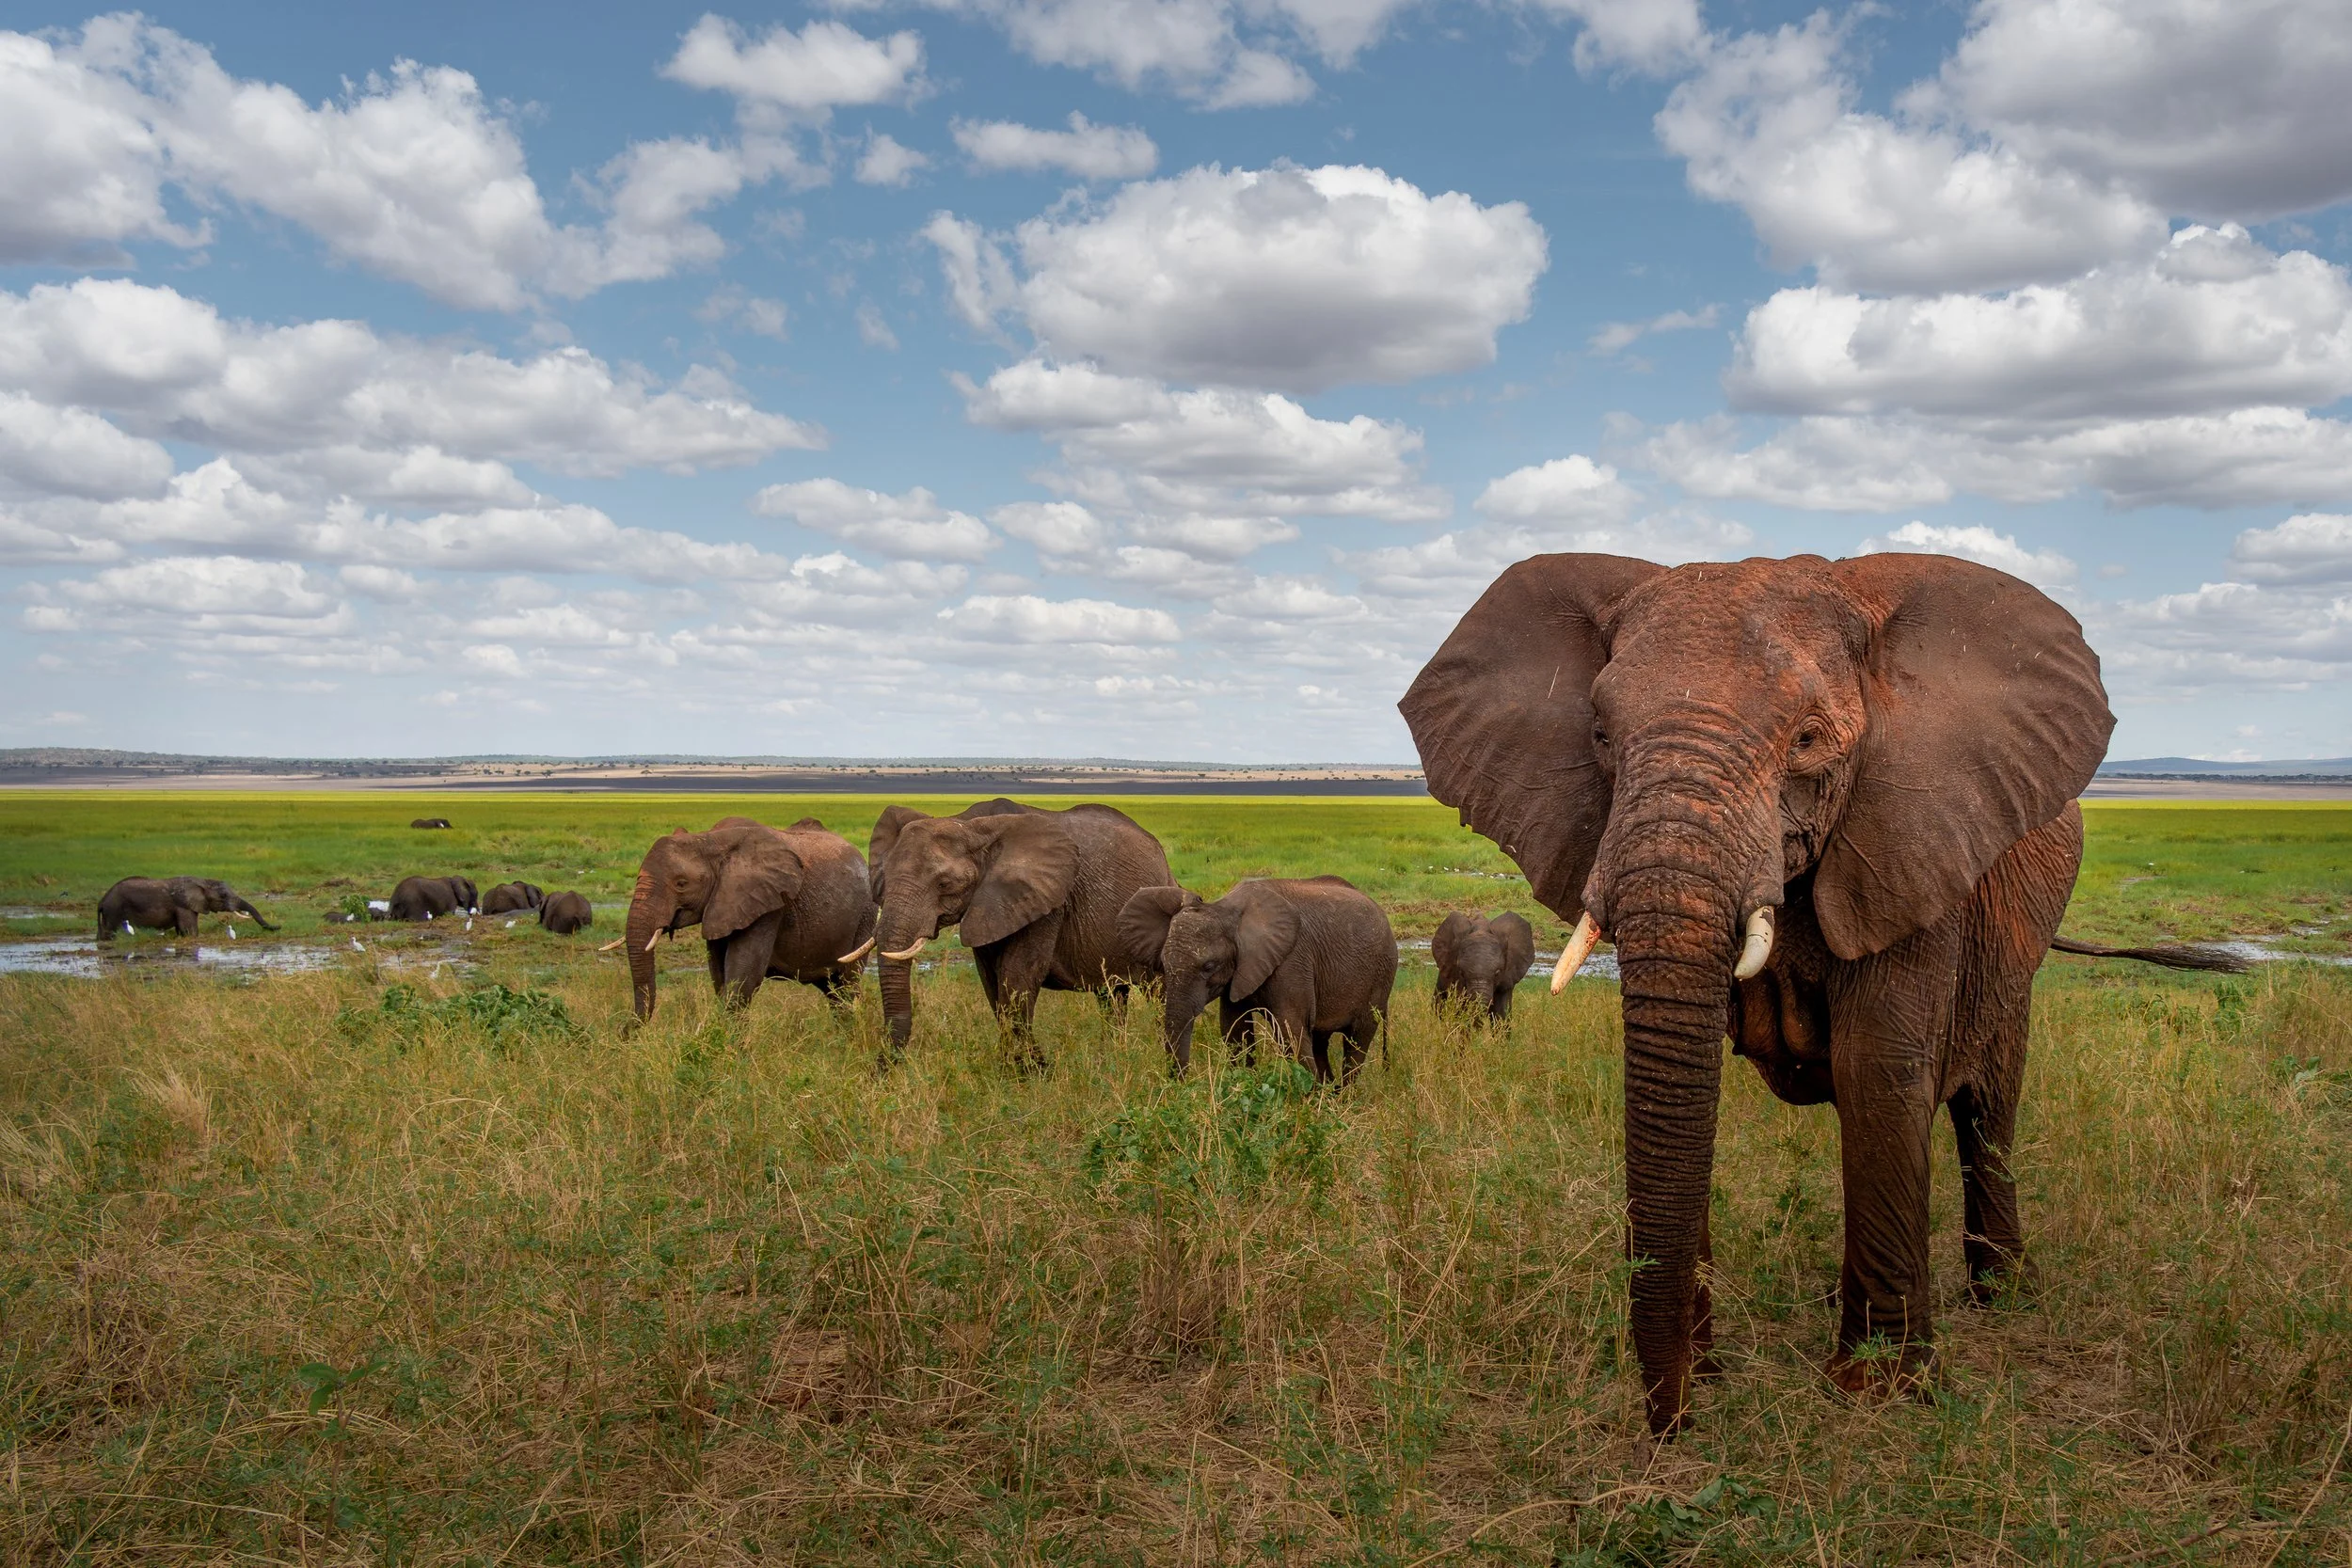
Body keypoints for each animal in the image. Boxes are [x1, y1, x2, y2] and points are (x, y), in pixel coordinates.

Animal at [97, 876, 277, 940]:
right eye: (223, 896)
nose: (279, 927)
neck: (203, 881)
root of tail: (102, 900)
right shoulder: (183, 905)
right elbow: (190, 931)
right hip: (114, 910)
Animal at [623, 818, 874, 1020]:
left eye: (681, 884)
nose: (625, 1033)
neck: (709, 839)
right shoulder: (721, 907)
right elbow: (720, 977)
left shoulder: (768, 905)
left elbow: (743, 978)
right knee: (833, 991)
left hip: (864, 918)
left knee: (846, 986)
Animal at [868, 800, 1173, 1061]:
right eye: (884, 878)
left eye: (945, 884)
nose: (883, 1067)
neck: (969, 824)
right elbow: (992, 983)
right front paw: (1014, 1071)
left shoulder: (1046, 901)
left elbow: (1017, 977)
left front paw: (1033, 1073)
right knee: (1111, 995)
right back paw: (1111, 1057)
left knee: (1158, 992)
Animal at [1120, 877, 1397, 1083]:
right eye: (1164, 965)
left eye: (1209, 967)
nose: (1180, 1084)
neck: (1225, 909)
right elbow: (1235, 1031)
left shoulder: (1291, 962)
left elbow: (1290, 1031)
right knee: (1321, 1041)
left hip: (1380, 975)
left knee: (1356, 1043)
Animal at [1401, 550, 2242, 1436]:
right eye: (1599, 734)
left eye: (1807, 738)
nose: (1676, 1421)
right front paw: (1714, 1367)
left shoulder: (1913, 847)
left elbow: (1879, 1071)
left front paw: (1880, 1391)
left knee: (1986, 1106)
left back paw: (2002, 1296)